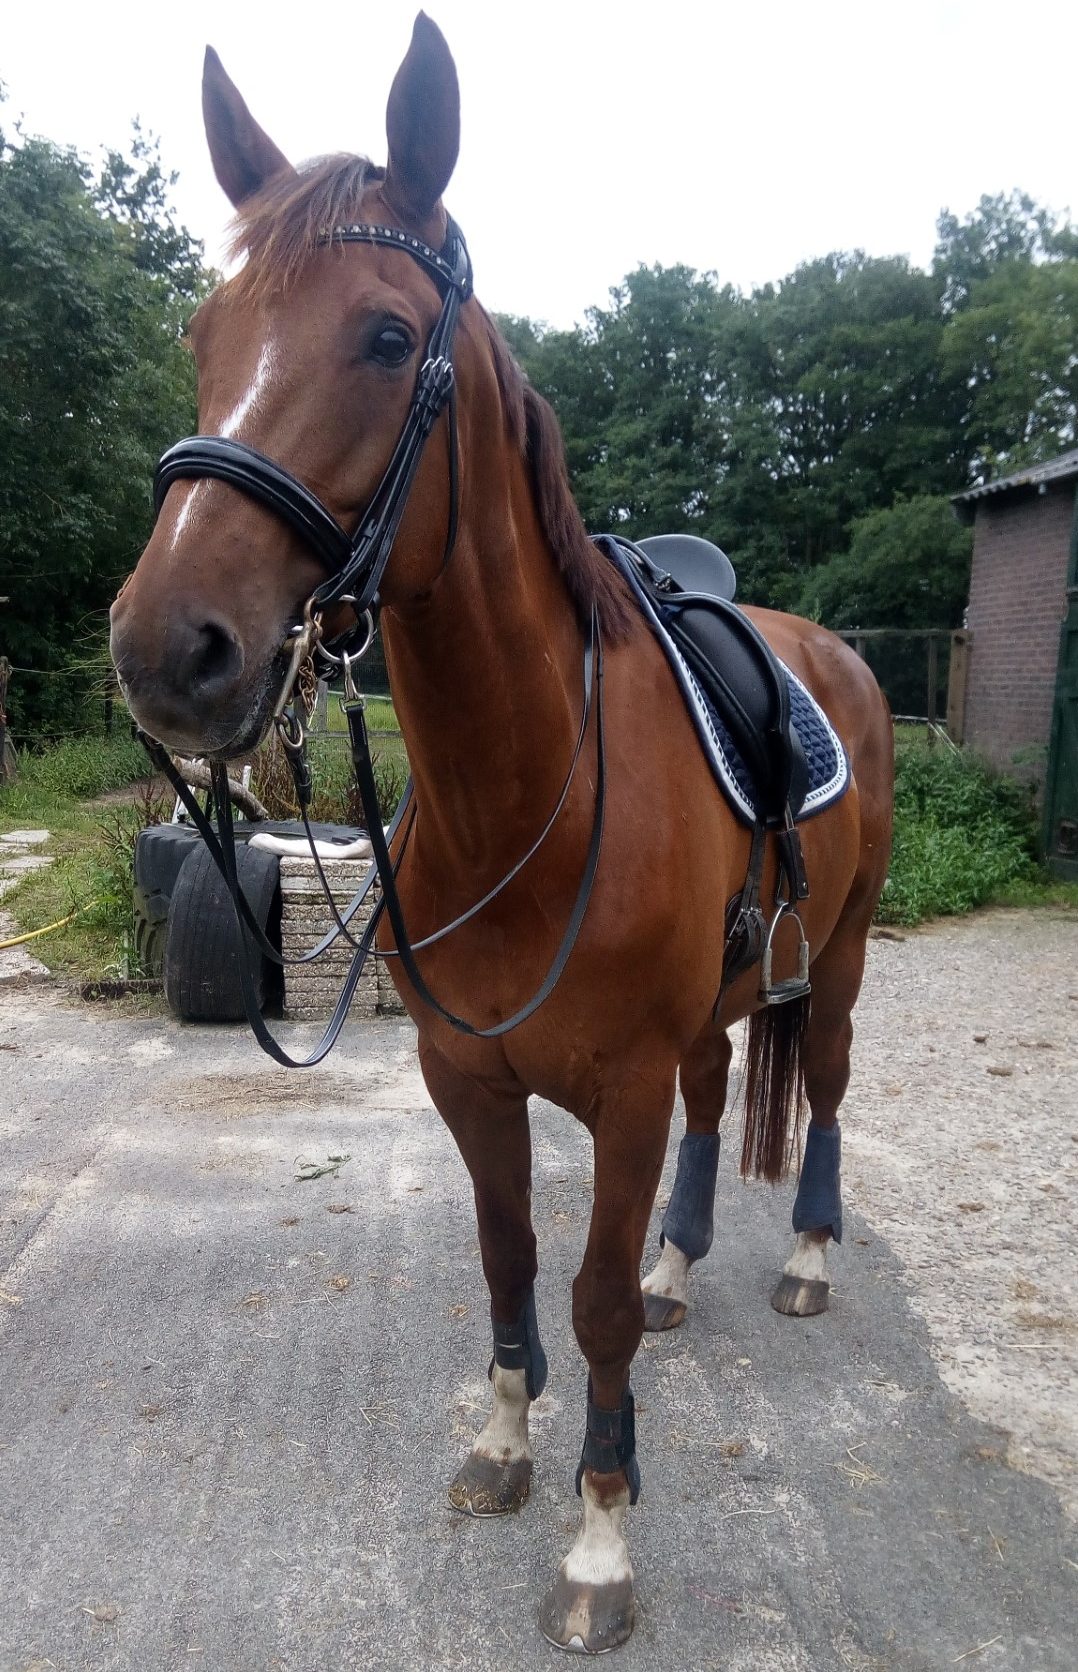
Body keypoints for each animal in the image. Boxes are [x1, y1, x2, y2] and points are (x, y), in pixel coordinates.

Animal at [109, 15, 893, 1654]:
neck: (528, 791)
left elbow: (583, 1297)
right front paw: (502, 1441)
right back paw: (681, 1262)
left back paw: (801, 1255)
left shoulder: (617, 1092)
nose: (167, 650)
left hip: (840, 958)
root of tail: (834, 656)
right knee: (722, 1101)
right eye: (206, 335)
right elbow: (511, 1259)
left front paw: (599, 1539)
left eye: (383, 338)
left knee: (825, 1088)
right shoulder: (467, 1083)